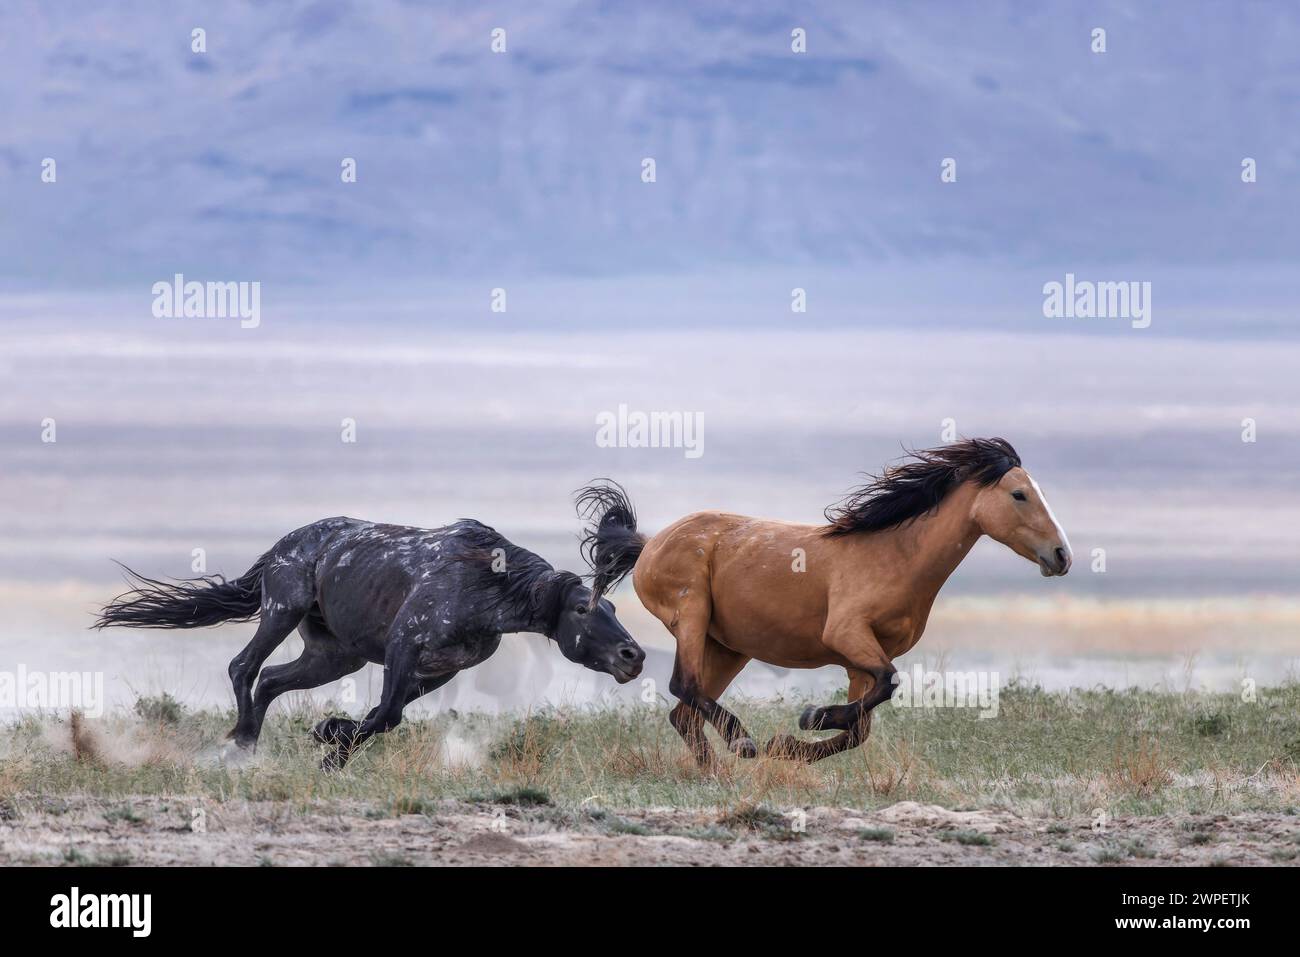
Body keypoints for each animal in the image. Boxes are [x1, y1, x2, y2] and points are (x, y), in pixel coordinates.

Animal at [98, 514, 647, 769]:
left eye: (615, 608)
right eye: (583, 609)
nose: (633, 656)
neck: (484, 583)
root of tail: (281, 546)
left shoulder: (440, 669)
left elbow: (386, 716)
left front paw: (331, 739)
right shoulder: (404, 648)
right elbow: (387, 715)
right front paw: (330, 742)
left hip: (334, 656)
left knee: (271, 680)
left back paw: (246, 747)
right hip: (283, 610)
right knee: (244, 667)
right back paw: (240, 742)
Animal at [579, 436, 1066, 764]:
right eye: (1019, 494)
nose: (1062, 555)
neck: (895, 556)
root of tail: (648, 544)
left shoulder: (859, 659)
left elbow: (860, 727)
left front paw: (791, 743)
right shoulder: (848, 635)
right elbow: (886, 686)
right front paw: (810, 718)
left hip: (728, 647)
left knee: (684, 713)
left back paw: (716, 770)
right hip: (692, 618)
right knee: (684, 686)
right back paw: (742, 740)